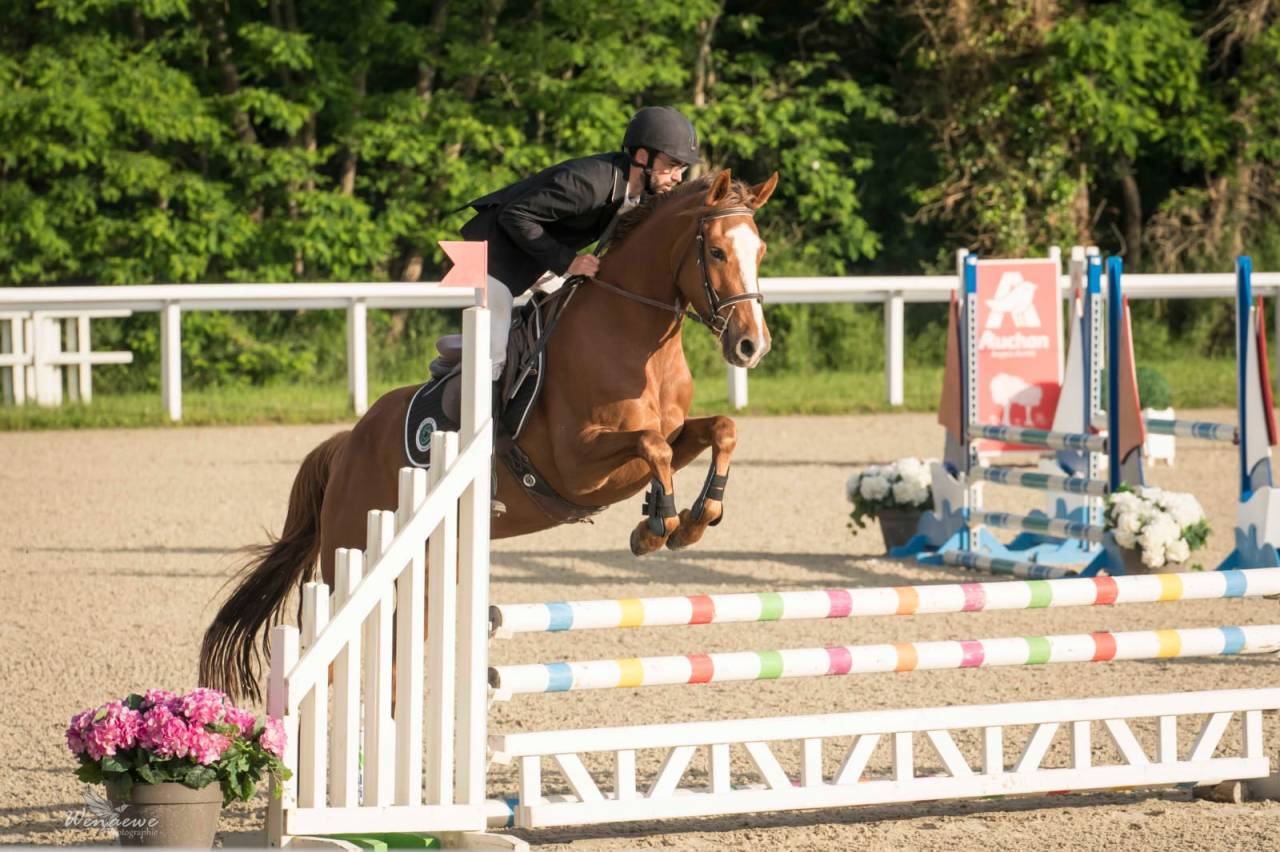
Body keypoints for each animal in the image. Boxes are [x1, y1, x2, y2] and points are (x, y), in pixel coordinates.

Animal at [200, 169, 779, 702]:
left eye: (761, 251)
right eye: (718, 251)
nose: (752, 346)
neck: (632, 335)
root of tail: (347, 443)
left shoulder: (670, 437)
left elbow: (720, 431)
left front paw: (692, 520)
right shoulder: (579, 464)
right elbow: (651, 445)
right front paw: (657, 527)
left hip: (420, 567)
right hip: (352, 554)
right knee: (328, 660)